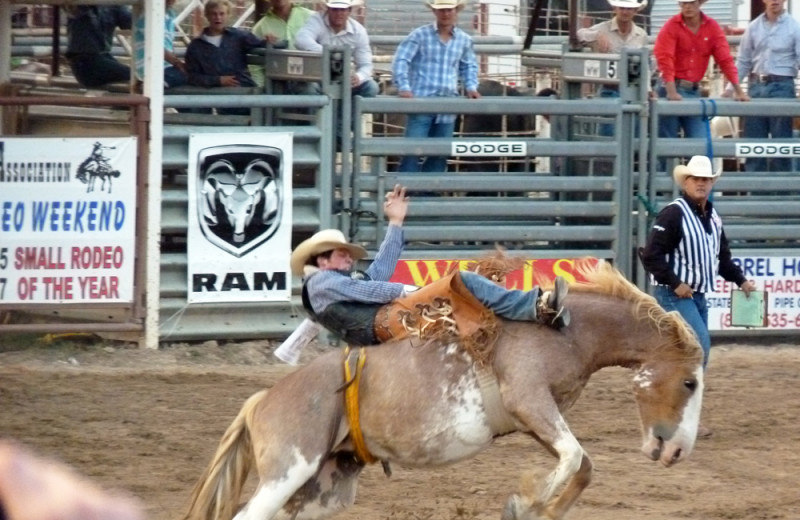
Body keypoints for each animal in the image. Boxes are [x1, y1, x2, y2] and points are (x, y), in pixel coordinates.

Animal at [181, 262, 700, 520]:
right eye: (690, 381)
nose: (678, 450)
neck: (569, 332)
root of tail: (260, 402)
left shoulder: (536, 417)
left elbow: (582, 464)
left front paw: (539, 508)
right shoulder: (528, 398)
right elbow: (574, 457)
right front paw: (524, 504)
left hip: (318, 487)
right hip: (288, 471)